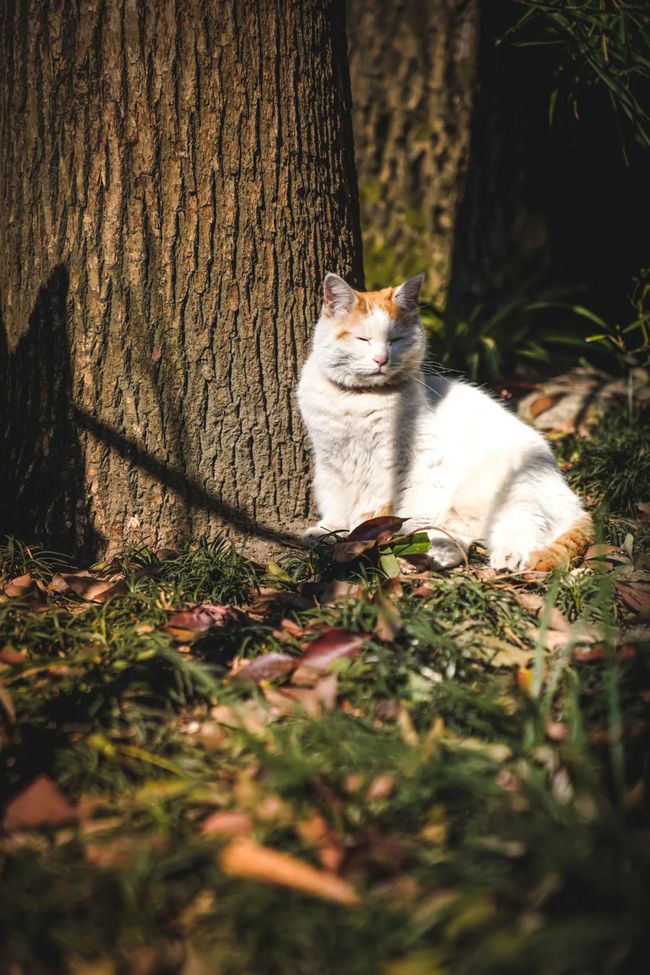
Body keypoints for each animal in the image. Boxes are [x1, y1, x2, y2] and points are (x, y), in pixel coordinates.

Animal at [296, 270, 588, 568]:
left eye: (395, 340)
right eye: (362, 339)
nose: (381, 359)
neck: (357, 399)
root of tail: (574, 502)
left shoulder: (408, 462)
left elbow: (392, 506)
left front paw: (376, 533)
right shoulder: (331, 461)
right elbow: (335, 499)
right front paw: (331, 530)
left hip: (514, 488)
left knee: (523, 527)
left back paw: (505, 556)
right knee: (459, 539)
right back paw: (428, 555)